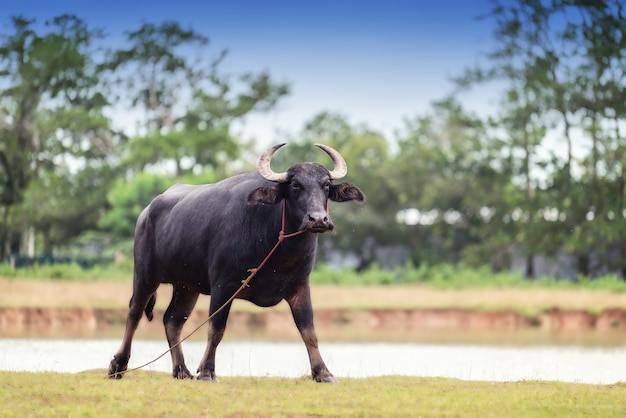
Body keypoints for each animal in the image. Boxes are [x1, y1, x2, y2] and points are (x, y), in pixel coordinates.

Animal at [105, 143, 364, 382]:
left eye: (326, 185)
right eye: (295, 185)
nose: (318, 219)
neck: (277, 245)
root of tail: (145, 212)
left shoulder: (300, 286)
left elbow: (309, 331)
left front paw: (323, 373)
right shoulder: (223, 285)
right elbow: (216, 329)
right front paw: (207, 372)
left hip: (186, 286)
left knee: (173, 320)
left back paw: (182, 370)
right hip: (145, 274)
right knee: (134, 312)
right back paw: (118, 366)